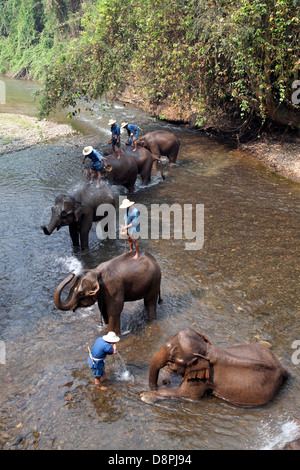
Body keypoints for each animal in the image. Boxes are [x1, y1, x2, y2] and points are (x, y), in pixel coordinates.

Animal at [142, 326, 290, 408]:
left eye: (174, 360)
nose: (164, 382)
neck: (207, 350)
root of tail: (282, 369)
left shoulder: (200, 380)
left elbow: (187, 394)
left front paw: (145, 396)